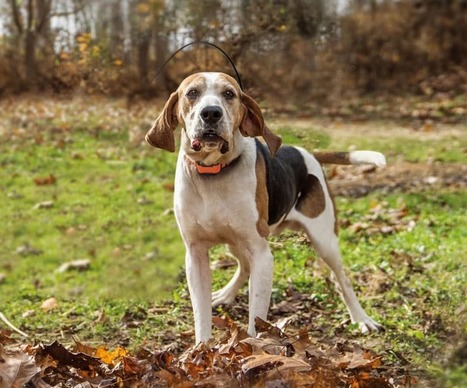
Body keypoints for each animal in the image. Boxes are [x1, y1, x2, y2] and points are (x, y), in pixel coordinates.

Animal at [147, 72, 388, 342]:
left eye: (229, 94)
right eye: (192, 93)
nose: (211, 113)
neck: (213, 173)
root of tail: (308, 153)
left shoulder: (262, 255)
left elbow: (256, 318)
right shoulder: (196, 254)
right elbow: (202, 316)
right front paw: (202, 349)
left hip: (324, 241)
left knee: (343, 280)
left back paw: (361, 318)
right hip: (236, 243)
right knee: (243, 266)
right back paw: (226, 294)